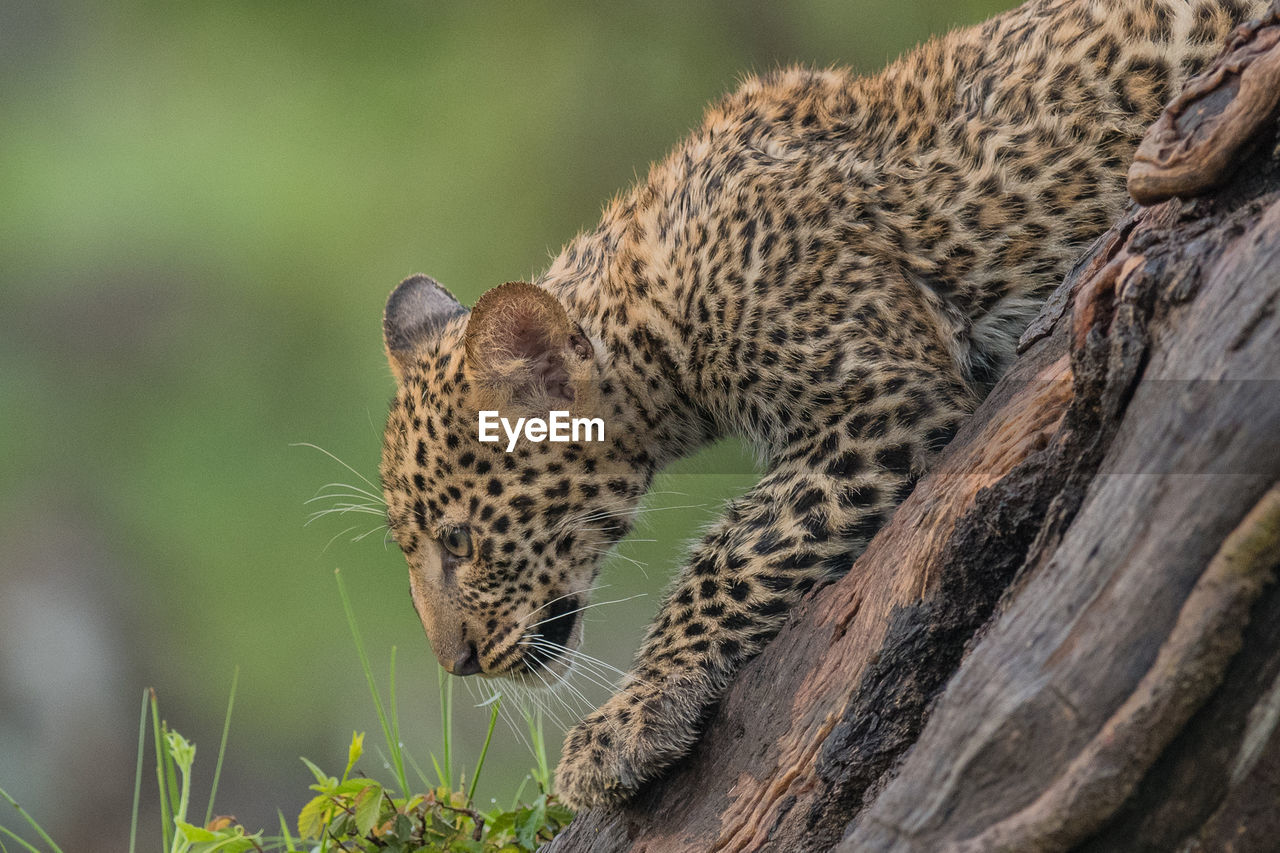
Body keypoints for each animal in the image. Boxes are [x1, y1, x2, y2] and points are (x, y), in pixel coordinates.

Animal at [373, 0, 1264, 809]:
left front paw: (627, 720)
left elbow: (733, 551)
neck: (652, 297)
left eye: (459, 541)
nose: (455, 661)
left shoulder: (885, 396)